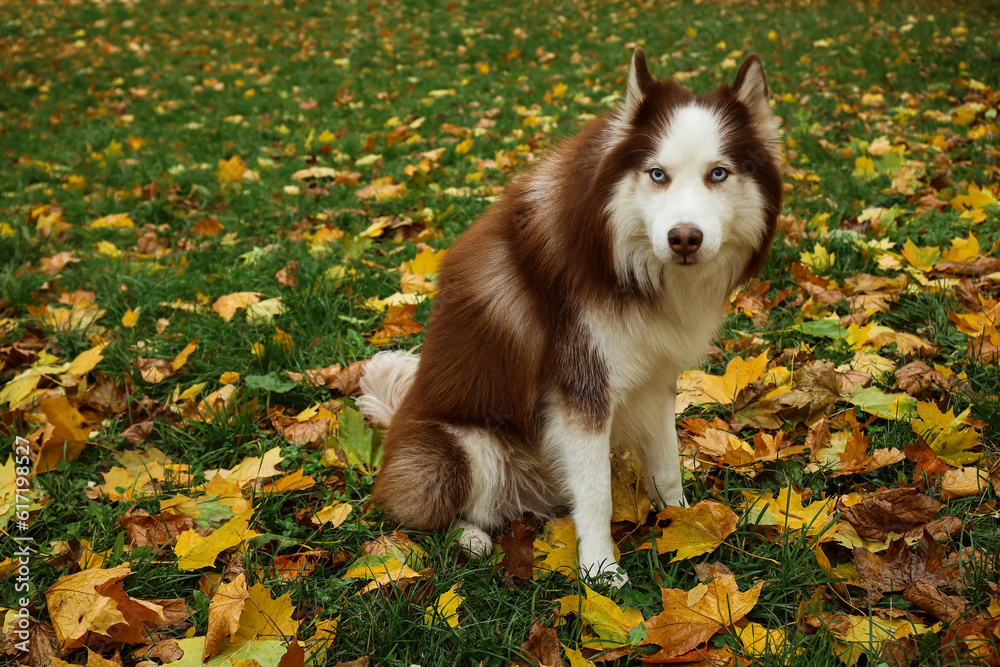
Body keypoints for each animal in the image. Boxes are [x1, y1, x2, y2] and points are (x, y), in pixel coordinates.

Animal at [356, 51, 784, 584]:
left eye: (719, 173)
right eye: (657, 174)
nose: (684, 237)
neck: (627, 266)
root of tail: (394, 423)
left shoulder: (656, 378)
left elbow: (666, 466)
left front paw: (686, 523)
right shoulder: (581, 391)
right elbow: (597, 496)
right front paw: (600, 571)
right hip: (463, 449)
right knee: (434, 513)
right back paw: (471, 538)